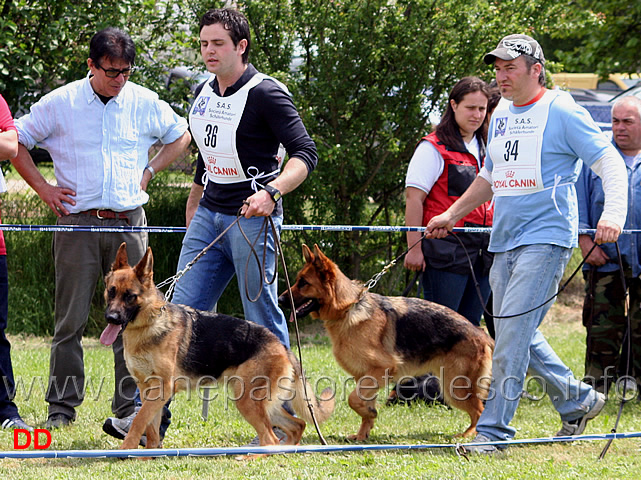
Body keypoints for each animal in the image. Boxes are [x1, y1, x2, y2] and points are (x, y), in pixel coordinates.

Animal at [100, 244, 336, 450]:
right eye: (111, 292)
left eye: (130, 296)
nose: (111, 318)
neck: (148, 325)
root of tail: (281, 345)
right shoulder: (147, 388)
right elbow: (150, 428)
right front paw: (146, 455)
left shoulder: (162, 388)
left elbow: (139, 421)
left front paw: (126, 450)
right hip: (259, 403)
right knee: (297, 426)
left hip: (246, 400)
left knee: (270, 438)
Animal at [278, 246, 492, 440]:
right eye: (297, 281)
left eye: (303, 283)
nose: (279, 300)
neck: (348, 308)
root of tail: (480, 333)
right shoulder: (365, 376)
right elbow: (362, 403)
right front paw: (363, 433)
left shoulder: (381, 369)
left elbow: (352, 399)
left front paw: (368, 415)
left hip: (454, 387)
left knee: (479, 410)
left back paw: (469, 435)